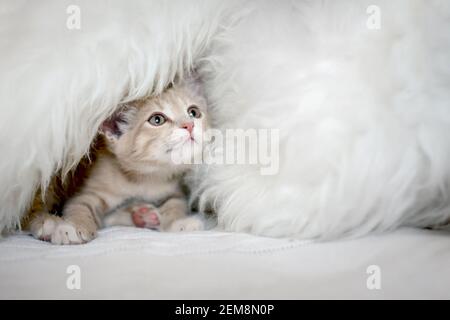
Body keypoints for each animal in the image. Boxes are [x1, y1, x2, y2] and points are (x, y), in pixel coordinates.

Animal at [27, 80, 209, 245]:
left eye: (193, 112)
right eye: (157, 120)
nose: (189, 125)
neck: (145, 177)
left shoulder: (174, 192)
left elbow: (175, 204)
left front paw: (176, 223)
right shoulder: (89, 191)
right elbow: (79, 207)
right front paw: (74, 228)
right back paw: (47, 223)